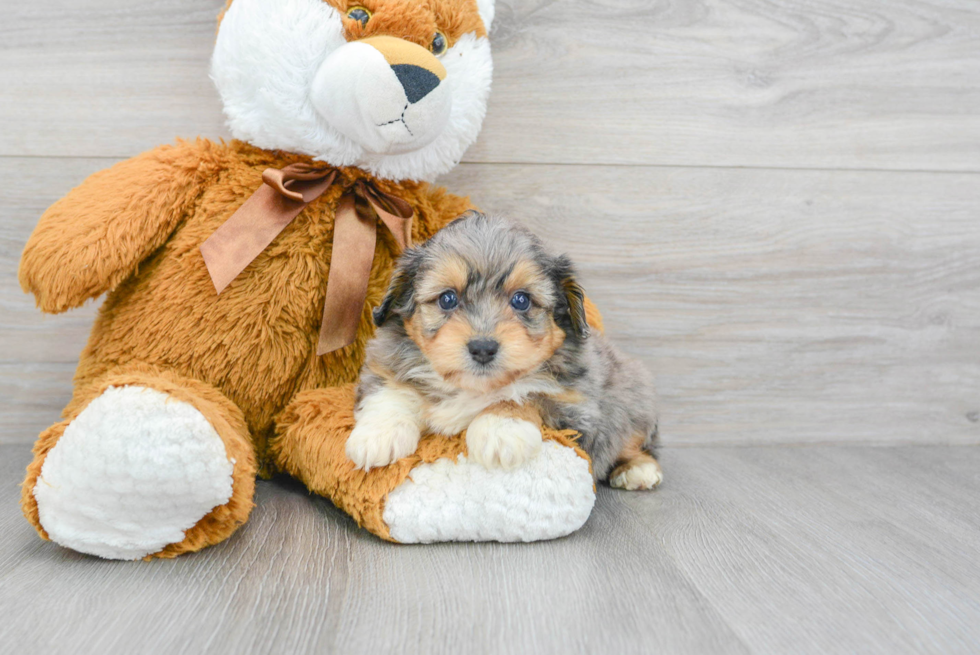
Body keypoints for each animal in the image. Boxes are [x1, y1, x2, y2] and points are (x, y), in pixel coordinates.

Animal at [348, 213, 664, 490]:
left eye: (521, 300)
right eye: (448, 299)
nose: (483, 348)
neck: (474, 388)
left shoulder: (578, 408)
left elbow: (528, 393)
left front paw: (500, 430)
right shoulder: (386, 361)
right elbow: (392, 390)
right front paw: (377, 435)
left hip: (635, 398)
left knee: (636, 443)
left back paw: (637, 469)